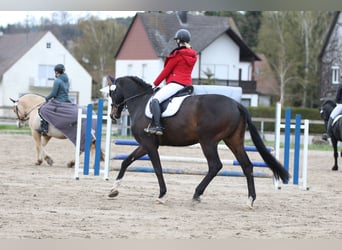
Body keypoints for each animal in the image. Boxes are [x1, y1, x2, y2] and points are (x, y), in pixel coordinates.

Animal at [107, 76, 288, 207]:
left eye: (111, 92)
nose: (113, 115)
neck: (140, 101)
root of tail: (236, 104)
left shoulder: (150, 145)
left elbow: (157, 169)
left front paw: (162, 195)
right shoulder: (145, 145)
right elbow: (126, 161)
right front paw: (113, 190)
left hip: (208, 141)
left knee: (215, 165)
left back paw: (197, 194)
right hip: (233, 141)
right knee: (247, 166)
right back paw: (250, 199)